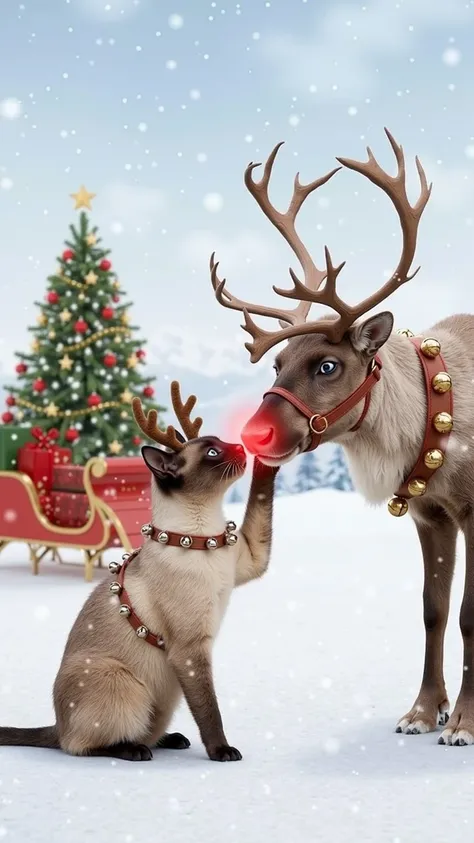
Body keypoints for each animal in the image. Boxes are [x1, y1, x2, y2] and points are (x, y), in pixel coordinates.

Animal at [208, 128, 474, 748]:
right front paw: (422, 713)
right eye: (278, 362)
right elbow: (432, 608)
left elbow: (470, 614)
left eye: (328, 365)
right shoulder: (431, 514)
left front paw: (464, 723)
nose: (252, 432)